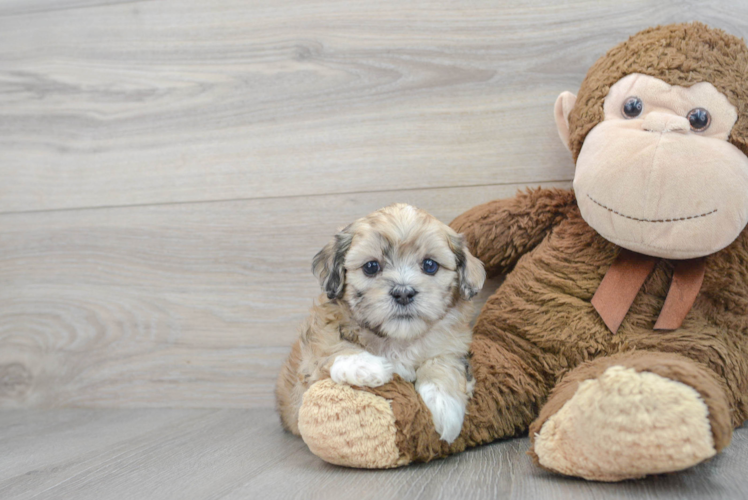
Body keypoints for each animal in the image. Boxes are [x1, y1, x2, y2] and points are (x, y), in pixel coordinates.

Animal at [274, 201, 486, 444]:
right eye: (371, 267)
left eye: (430, 265)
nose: (403, 293)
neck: (397, 339)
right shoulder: (311, 357)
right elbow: (331, 348)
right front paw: (369, 366)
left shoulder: (452, 346)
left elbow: (442, 364)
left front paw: (445, 408)